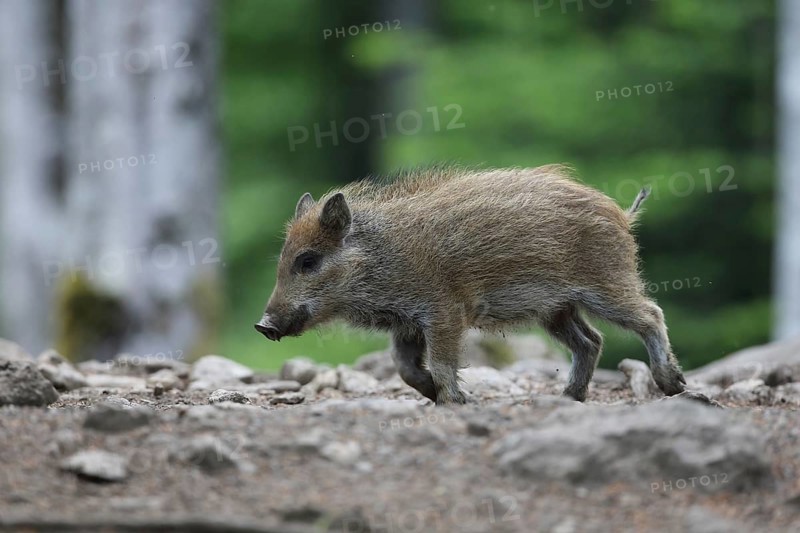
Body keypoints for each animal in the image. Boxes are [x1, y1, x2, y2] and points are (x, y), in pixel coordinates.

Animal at [255, 165, 686, 404]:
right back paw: (568, 398)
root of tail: (622, 214)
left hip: (606, 283)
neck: (383, 258)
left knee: (650, 314)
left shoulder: (445, 312)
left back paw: (673, 385)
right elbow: (404, 368)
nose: (263, 325)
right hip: (557, 310)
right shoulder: (407, 323)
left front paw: (454, 402)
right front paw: (437, 396)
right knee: (591, 341)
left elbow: (443, 364)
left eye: (308, 261)